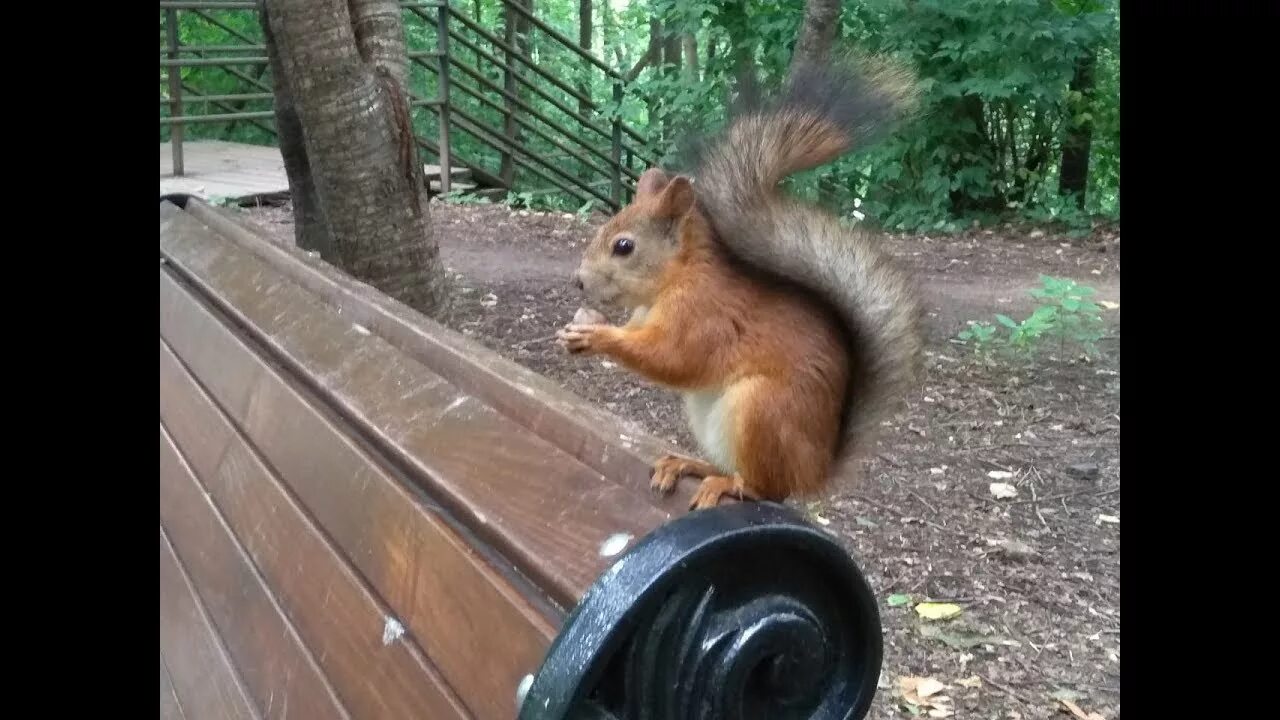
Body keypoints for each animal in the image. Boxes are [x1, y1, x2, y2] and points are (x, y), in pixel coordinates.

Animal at [555, 51, 926, 509]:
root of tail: (816, 471)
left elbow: (672, 358)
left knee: (767, 487)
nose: (579, 282)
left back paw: (729, 485)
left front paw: (597, 336)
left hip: (761, 409)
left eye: (624, 246)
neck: (674, 280)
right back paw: (691, 464)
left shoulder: (703, 314)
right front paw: (581, 326)